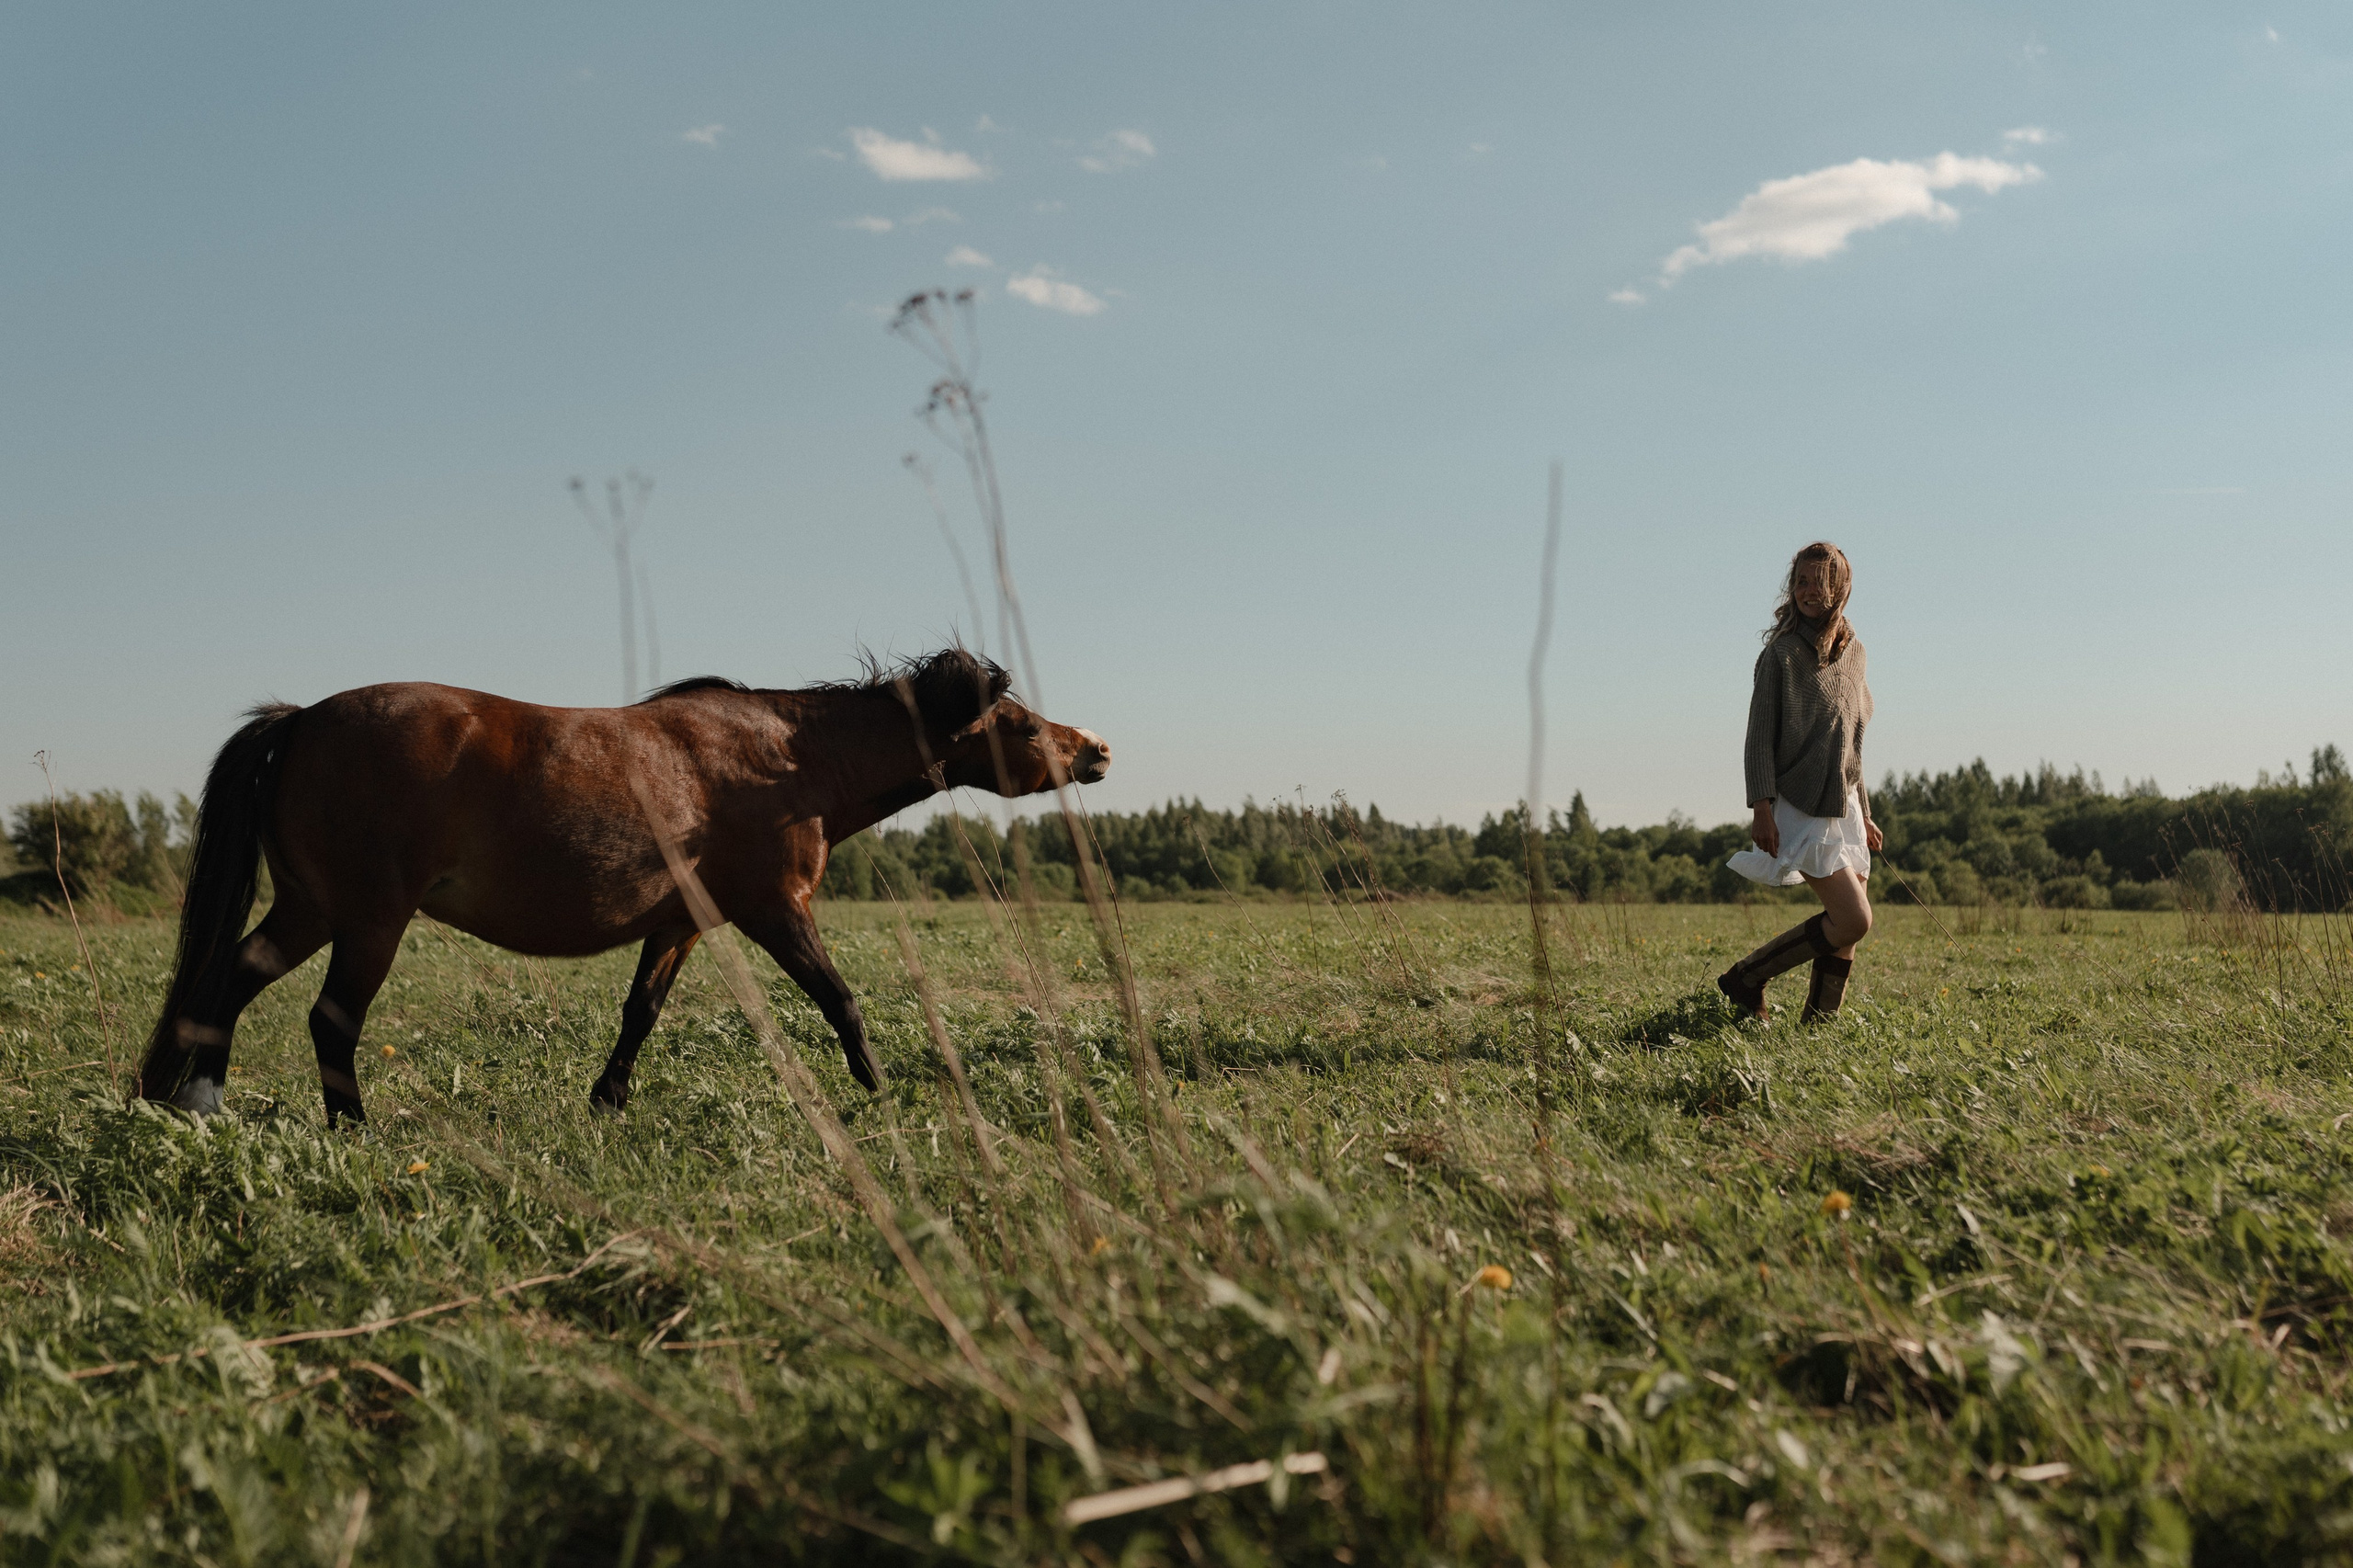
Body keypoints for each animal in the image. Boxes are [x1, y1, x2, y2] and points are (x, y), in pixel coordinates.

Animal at [136, 648, 1110, 1125]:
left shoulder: (681, 924)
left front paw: (606, 1104)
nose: (1097, 749)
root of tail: (300, 720)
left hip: (311, 907)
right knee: (328, 1019)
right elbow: (840, 1001)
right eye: (1020, 724)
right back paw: (350, 1127)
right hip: (370, 918)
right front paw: (877, 1092)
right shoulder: (773, 909)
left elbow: (639, 1014)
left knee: (230, 976)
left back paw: (199, 1101)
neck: (784, 759)